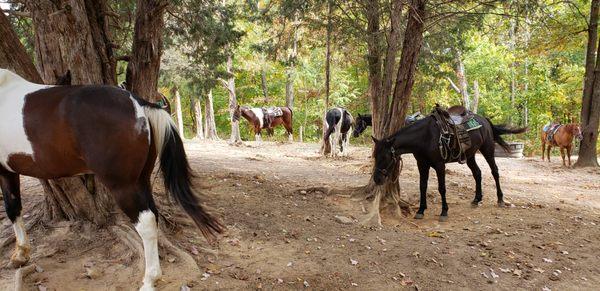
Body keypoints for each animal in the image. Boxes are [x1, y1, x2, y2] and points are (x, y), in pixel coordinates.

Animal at [0, 69, 223, 291]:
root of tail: (138, 102)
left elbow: (11, 209)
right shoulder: (8, 171)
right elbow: (14, 208)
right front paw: (21, 254)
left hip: (123, 185)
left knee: (146, 222)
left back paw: (150, 280)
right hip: (141, 180)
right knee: (154, 216)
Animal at [372, 105, 528, 221]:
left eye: (385, 157)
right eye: (375, 156)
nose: (377, 179)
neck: (424, 137)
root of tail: (484, 120)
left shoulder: (440, 165)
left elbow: (442, 188)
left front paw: (444, 212)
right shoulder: (422, 164)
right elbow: (422, 186)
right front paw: (421, 210)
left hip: (488, 149)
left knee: (494, 171)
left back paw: (500, 199)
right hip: (470, 155)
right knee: (477, 173)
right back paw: (476, 199)